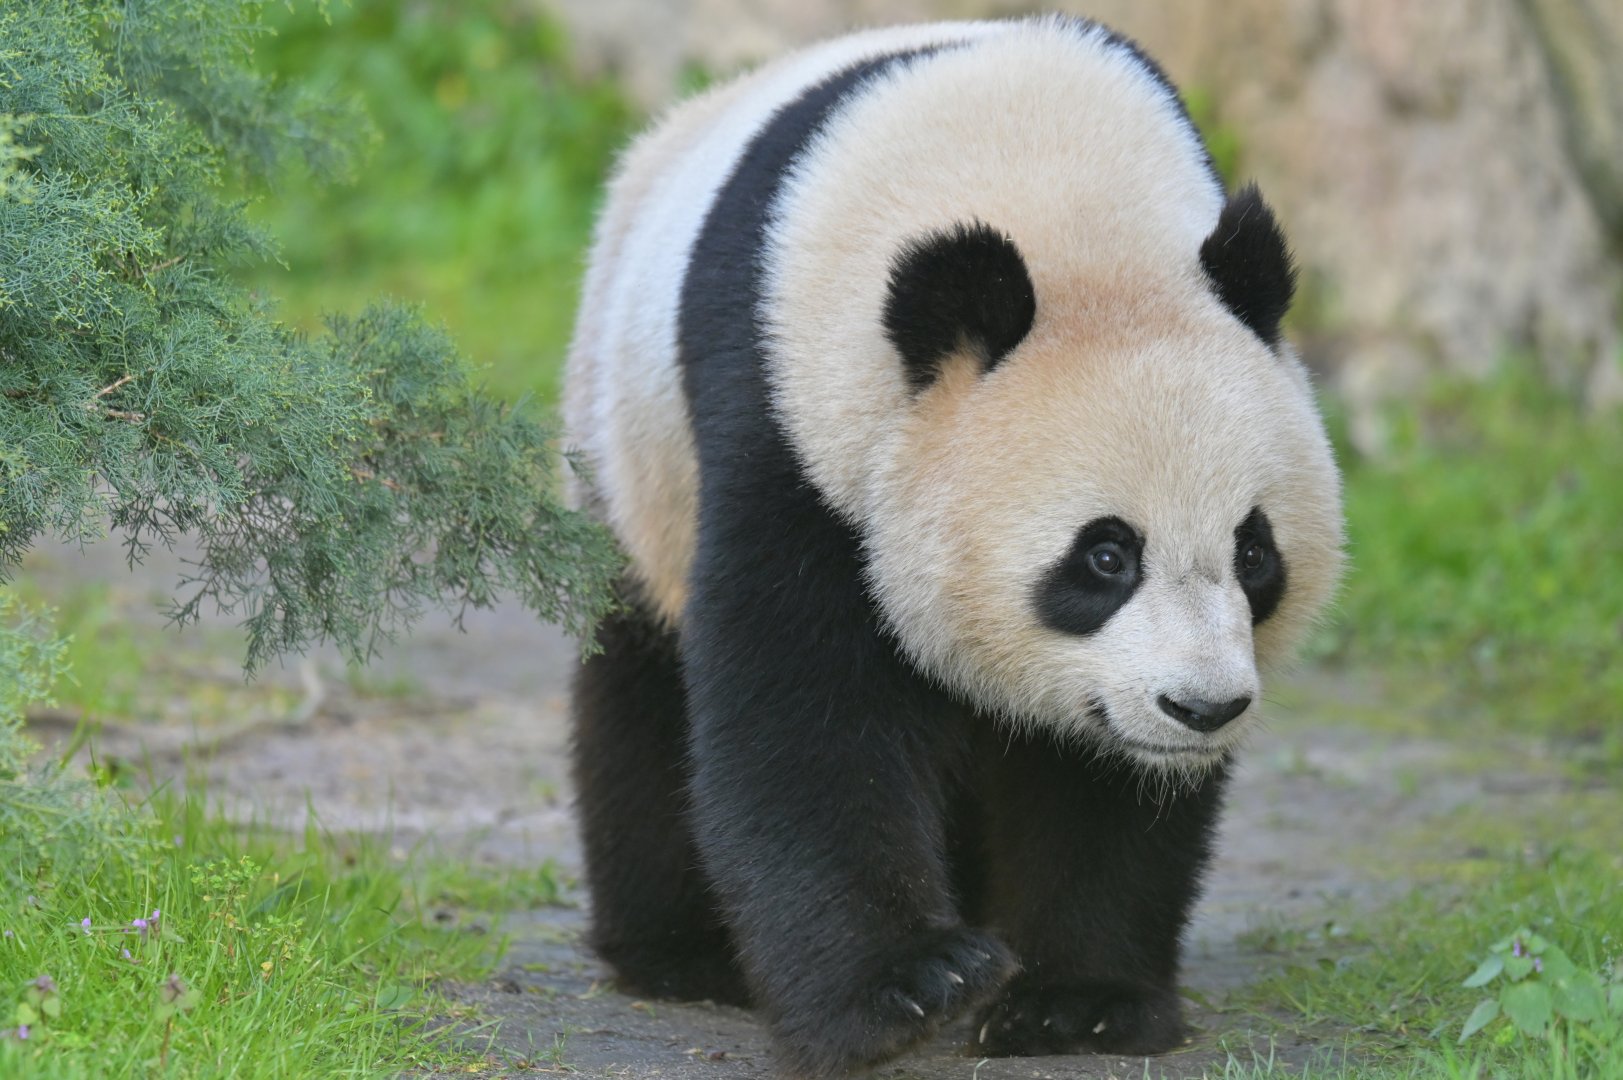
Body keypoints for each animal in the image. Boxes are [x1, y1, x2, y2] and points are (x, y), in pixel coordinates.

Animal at [563, 14, 1344, 1078]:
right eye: (1105, 557)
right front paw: (907, 986)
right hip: (632, 464)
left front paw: (1075, 1004)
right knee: (638, 689)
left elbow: (1097, 783)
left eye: (1253, 553)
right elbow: (802, 711)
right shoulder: (793, 427)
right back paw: (682, 952)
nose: (1201, 709)